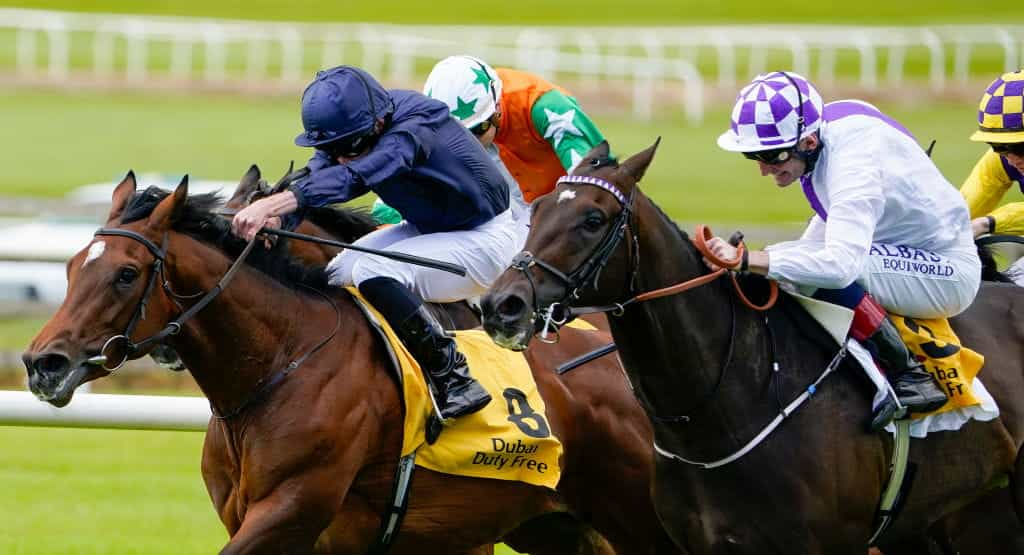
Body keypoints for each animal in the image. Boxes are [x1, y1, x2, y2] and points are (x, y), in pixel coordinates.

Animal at [22, 176, 679, 552]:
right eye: (72, 265)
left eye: (126, 273)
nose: (41, 362)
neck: (282, 362)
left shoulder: (294, 510)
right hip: (558, 527)